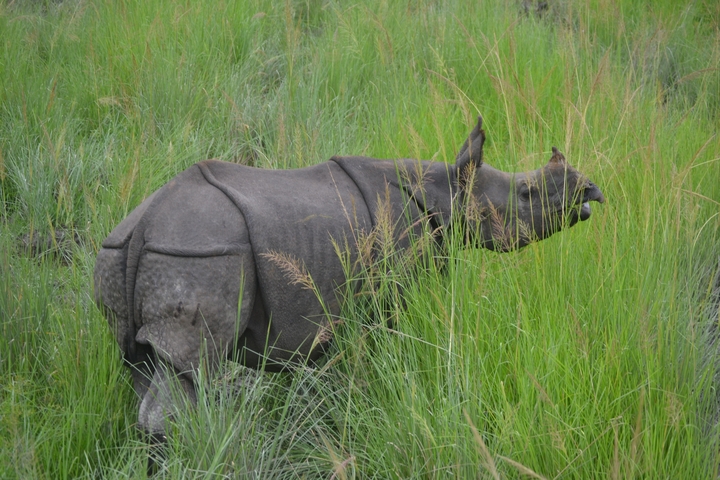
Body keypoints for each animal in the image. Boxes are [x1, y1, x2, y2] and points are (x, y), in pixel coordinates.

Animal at [94, 116, 604, 436]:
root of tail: (144, 225)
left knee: (144, 365)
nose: (591, 192)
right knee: (191, 366)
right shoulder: (391, 291)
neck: (446, 189)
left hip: (123, 254)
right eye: (527, 193)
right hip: (200, 251)